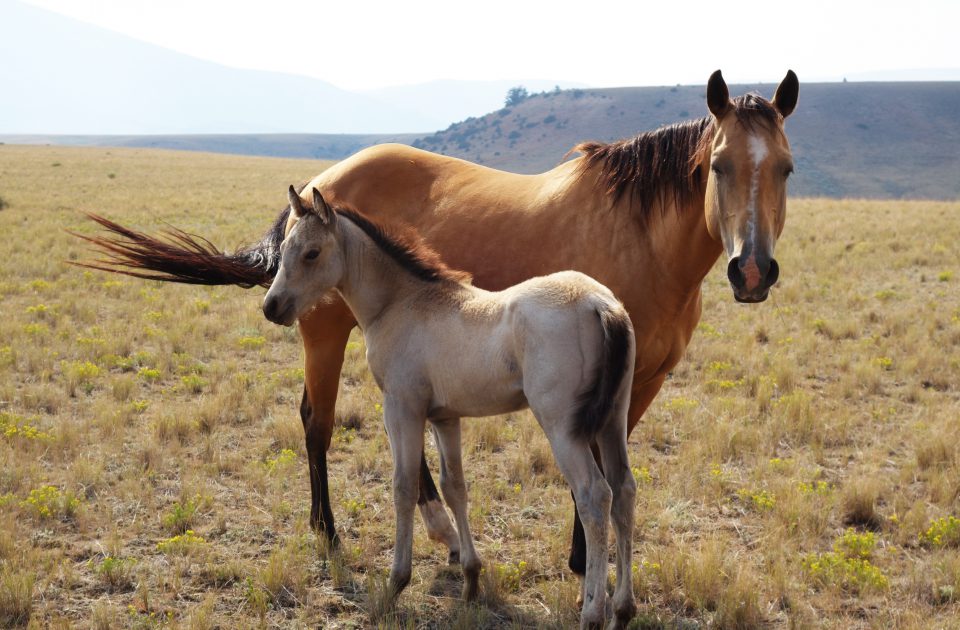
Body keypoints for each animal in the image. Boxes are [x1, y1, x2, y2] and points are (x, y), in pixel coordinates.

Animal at [79, 70, 796, 584]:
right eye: (719, 166)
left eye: (787, 168)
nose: (751, 270)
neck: (640, 234)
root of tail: (320, 181)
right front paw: (583, 568)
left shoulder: (638, 386)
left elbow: (609, 479)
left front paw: (583, 562)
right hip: (324, 332)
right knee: (317, 422)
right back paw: (332, 531)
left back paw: (445, 537)